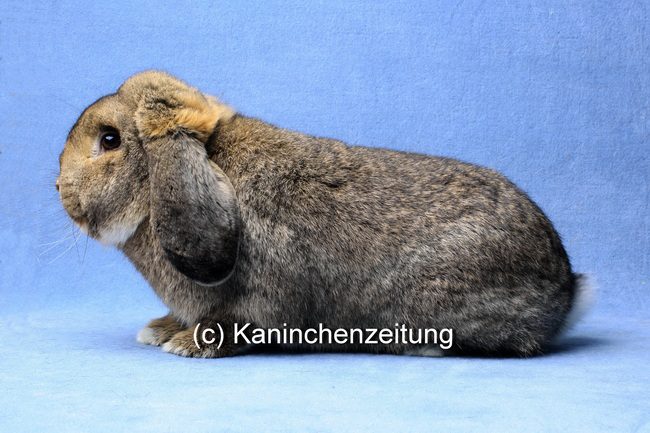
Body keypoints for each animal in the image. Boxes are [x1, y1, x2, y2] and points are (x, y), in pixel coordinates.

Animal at [58, 69, 588, 356]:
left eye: (110, 140)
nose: (59, 188)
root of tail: (566, 287)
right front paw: (163, 330)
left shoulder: (260, 303)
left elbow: (238, 325)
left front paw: (190, 344)